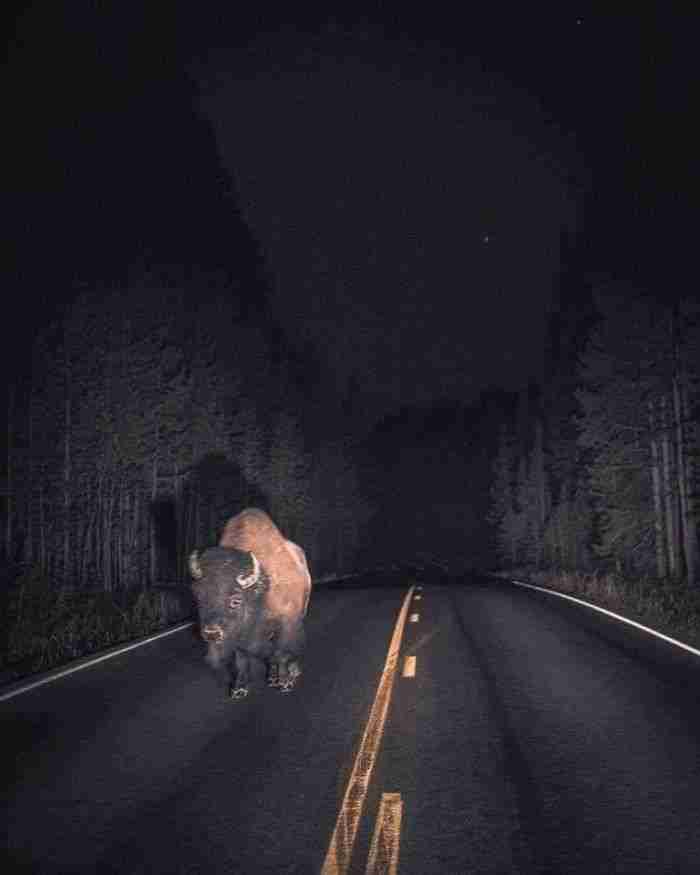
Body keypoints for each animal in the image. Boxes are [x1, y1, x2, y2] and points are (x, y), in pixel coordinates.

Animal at [190, 510, 314, 700]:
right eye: (198, 596)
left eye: (236, 600)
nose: (211, 633)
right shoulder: (240, 638)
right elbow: (242, 661)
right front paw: (239, 690)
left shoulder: (286, 624)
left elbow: (281, 653)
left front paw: (285, 683)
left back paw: (291, 672)